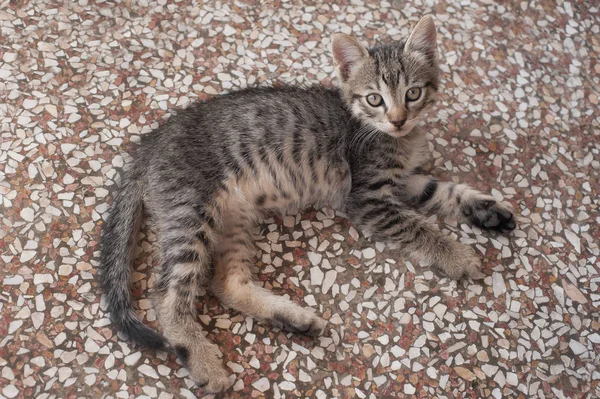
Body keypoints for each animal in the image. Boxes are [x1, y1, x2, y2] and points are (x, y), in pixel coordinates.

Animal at [98, 15, 516, 394]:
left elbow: (443, 190)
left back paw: (294, 319)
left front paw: (486, 209)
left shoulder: (404, 182)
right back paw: (201, 359)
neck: (393, 137)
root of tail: (149, 143)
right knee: (168, 293)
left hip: (235, 217)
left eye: (413, 93)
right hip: (193, 211)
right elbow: (419, 227)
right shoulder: (367, 199)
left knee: (226, 283)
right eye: (375, 99)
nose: (398, 119)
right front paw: (457, 255)